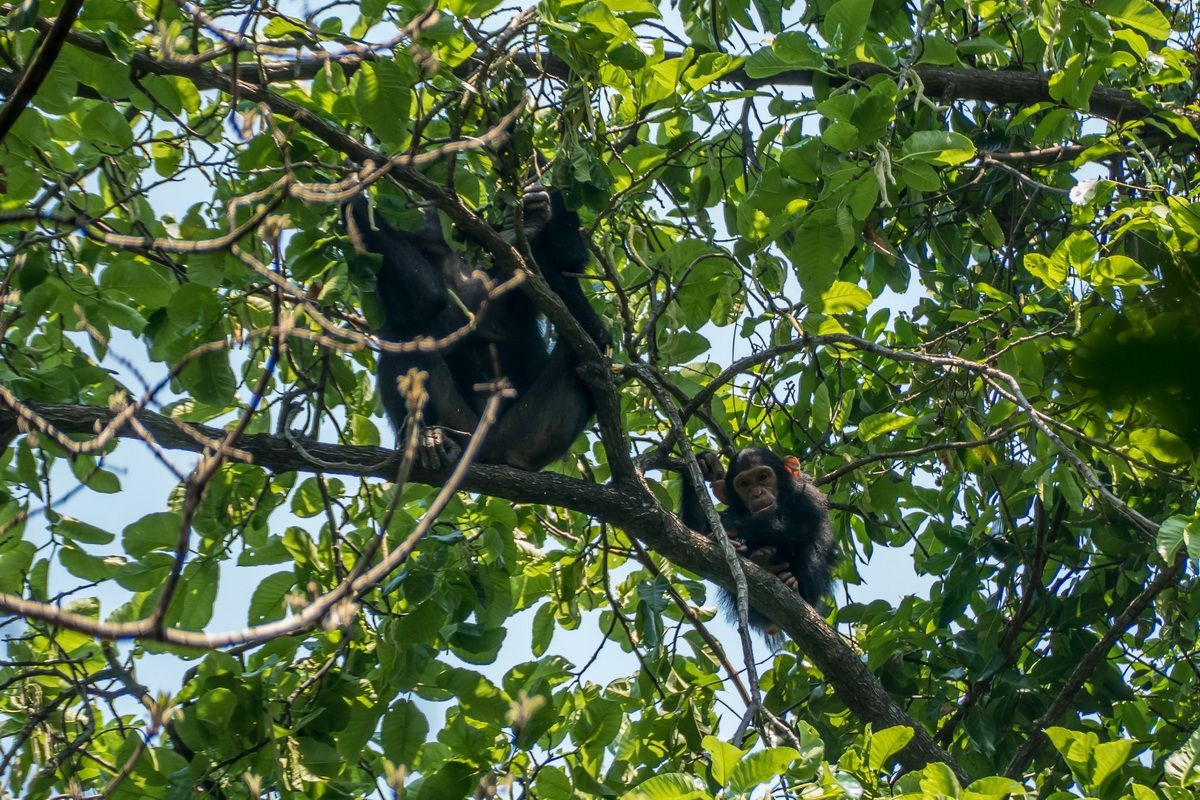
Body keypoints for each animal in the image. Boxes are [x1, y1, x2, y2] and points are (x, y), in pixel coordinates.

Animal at [348, 188, 609, 472]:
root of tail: (487, 454)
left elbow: (567, 260)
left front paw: (536, 213)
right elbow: (424, 297)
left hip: (531, 432)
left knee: (590, 335)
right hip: (459, 422)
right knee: (405, 335)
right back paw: (427, 438)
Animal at [681, 450, 840, 638]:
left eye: (763, 477)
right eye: (744, 484)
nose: (757, 493)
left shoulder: (807, 495)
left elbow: (801, 524)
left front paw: (729, 524)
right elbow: (697, 529)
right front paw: (704, 462)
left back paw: (786, 578)